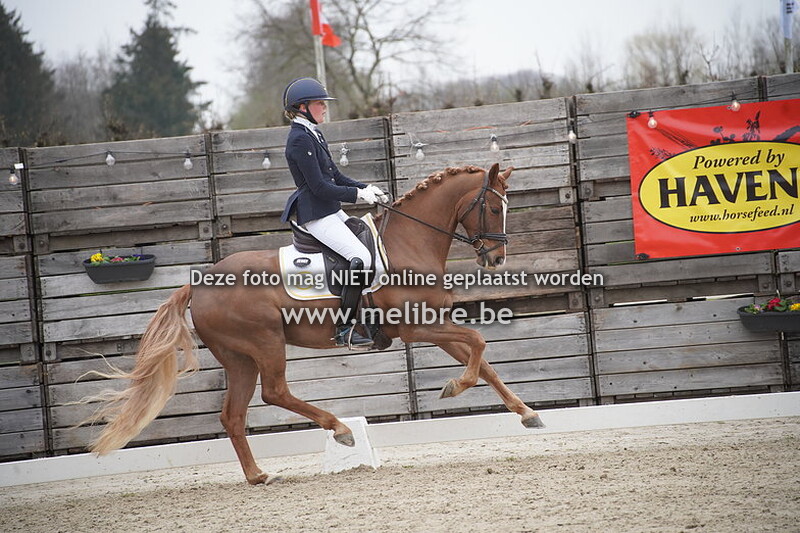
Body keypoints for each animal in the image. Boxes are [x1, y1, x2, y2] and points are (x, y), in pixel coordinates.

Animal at [86, 162, 545, 485]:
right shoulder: (417, 327)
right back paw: (339, 429)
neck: (408, 243)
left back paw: (258, 475)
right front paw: (454, 387)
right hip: (265, 343)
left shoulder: (435, 322)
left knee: (233, 415)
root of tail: (200, 284)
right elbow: (479, 341)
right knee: (274, 393)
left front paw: (527, 414)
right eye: (493, 207)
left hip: (239, 357)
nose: (496, 258)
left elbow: (484, 363)